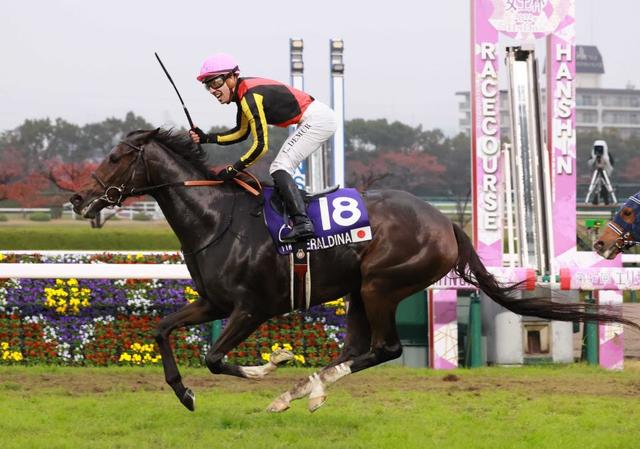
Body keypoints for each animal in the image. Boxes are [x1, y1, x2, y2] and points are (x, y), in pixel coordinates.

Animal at [70, 128, 638, 413]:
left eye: (117, 157)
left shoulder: (251, 308)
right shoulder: (214, 302)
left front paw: (271, 364)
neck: (218, 219)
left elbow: (213, 357)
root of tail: (446, 223)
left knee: (383, 349)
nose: (78, 199)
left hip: (381, 283)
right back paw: (303, 392)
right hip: (359, 293)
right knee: (357, 349)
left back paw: (301, 390)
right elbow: (162, 329)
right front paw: (184, 393)